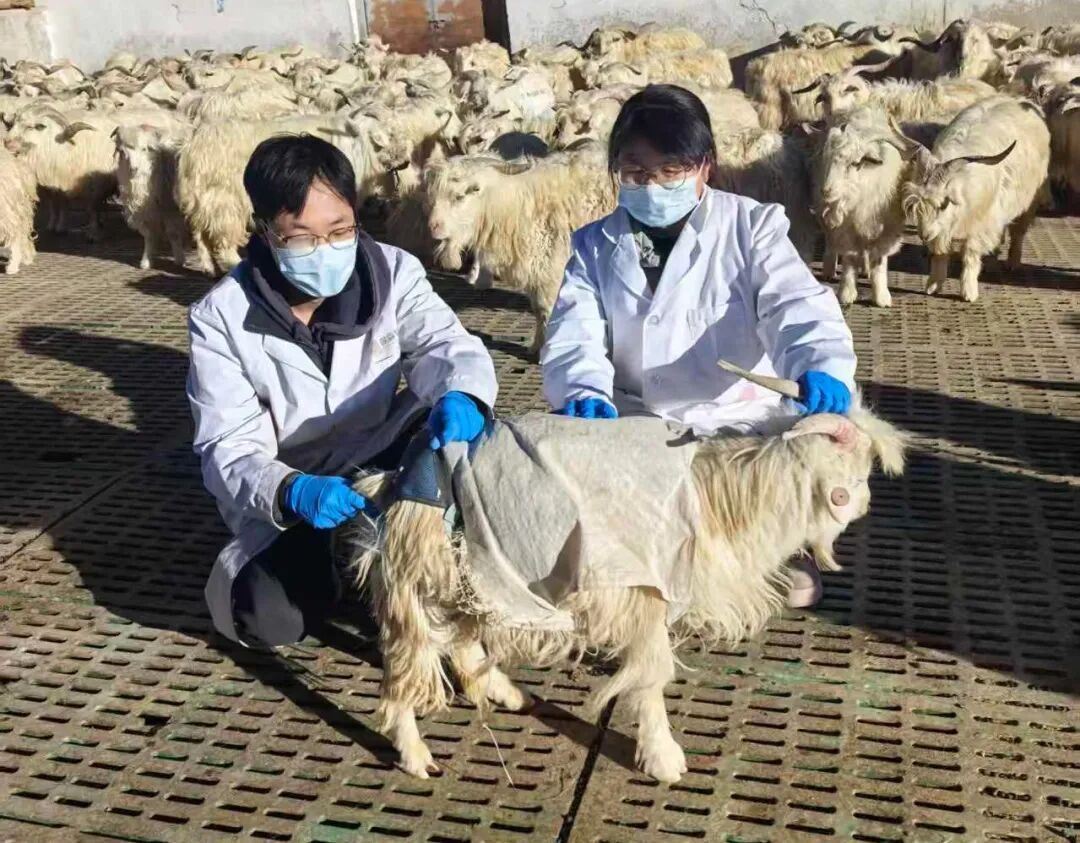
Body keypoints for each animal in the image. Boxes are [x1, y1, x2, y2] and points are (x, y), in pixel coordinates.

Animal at [113, 123, 192, 270]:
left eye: (144, 149)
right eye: (121, 151)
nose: (134, 169)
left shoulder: (171, 208)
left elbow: (173, 234)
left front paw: (180, 259)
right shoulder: (148, 210)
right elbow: (149, 236)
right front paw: (146, 261)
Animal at [344, 405, 907, 781]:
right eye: (858, 462)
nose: (865, 506)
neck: (724, 501)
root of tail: (393, 482)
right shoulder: (641, 596)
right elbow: (651, 677)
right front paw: (664, 758)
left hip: (473, 574)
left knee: (462, 638)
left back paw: (501, 691)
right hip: (421, 582)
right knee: (407, 663)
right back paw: (416, 755)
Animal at [422, 141, 615, 355]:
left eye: (474, 189)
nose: (434, 226)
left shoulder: (552, 272)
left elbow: (548, 309)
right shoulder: (536, 271)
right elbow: (539, 310)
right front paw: (537, 346)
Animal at [901, 96, 1051, 302]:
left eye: (944, 203)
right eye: (917, 205)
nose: (924, 234)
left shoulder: (980, 222)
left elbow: (970, 255)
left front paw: (969, 292)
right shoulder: (943, 228)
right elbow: (940, 253)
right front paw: (933, 286)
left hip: (1029, 199)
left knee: (1018, 232)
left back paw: (1012, 262)